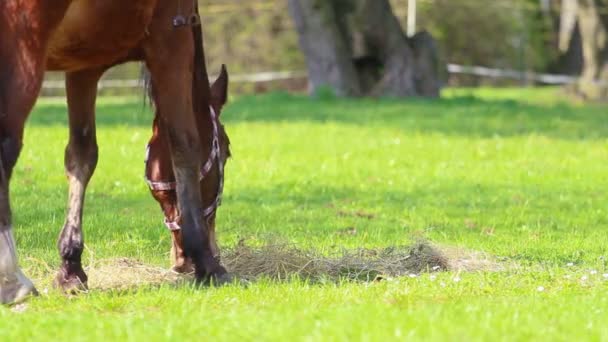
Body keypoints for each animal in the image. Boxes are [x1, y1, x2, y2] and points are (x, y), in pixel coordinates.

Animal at [1, 0, 229, 304]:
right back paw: (12, 280)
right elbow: (184, 143)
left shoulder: (83, 66)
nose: (182, 261)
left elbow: (81, 156)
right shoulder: (172, 39)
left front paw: (71, 269)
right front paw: (207, 262)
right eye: (226, 152)